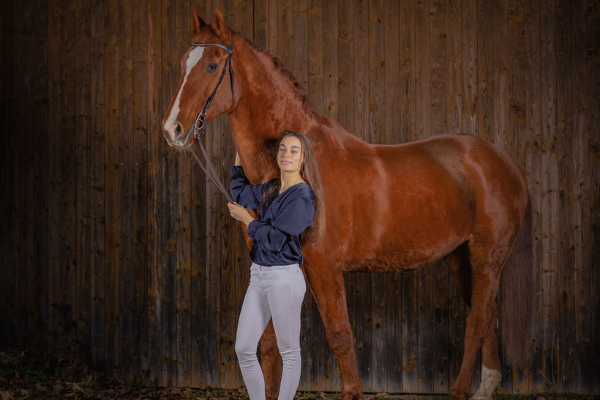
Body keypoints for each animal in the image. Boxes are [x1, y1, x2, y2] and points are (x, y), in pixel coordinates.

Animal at [162, 8, 532, 400]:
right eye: (184, 63)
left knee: (477, 321)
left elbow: (340, 336)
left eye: (212, 65)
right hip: (460, 257)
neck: (299, 165)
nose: (172, 130)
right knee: (487, 315)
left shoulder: (325, 267)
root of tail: (505, 162)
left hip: (487, 257)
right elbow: (270, 348)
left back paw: (461, 391)